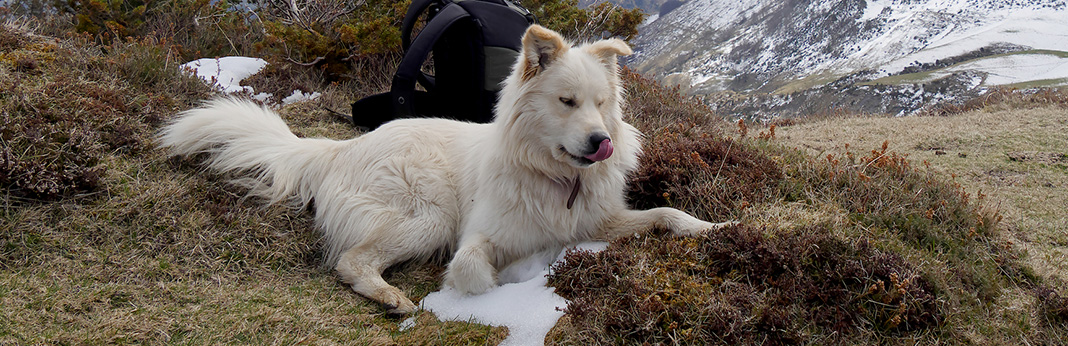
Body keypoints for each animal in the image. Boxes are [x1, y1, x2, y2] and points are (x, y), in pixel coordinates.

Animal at [160, 25, 734, 313]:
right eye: (567, 102)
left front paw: (717, 227)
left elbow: (668, 214)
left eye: (600, 103)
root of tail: (340, 148)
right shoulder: (476, 238)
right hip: (428, 216)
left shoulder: (601, 221)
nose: (603, 143)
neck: (552, 178)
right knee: (351, 260)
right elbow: (475, 272)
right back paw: (392, 297)